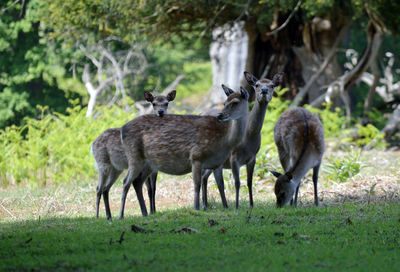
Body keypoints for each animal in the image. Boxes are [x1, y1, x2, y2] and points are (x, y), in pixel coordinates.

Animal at [93, 90, 177, 220]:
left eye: (166, 103)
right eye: (154, 103)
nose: (160, 112)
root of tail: (92, 144)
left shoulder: (154, 169)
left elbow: (153, 189)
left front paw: (153, 211)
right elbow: (147, 188)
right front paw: (150, 211)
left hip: (116, 168)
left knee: (105, 189)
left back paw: (109, 216)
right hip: (103, 164)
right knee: (99, 188)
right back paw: (99, 216)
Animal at [119, 84, 250, 217]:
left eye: (235, 102)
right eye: (225, 102)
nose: (220, 115)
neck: (224, 140)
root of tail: (122, 130)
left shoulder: (217, 163)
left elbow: (221, 184)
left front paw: (226, 206)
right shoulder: (196, 156)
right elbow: (196, 184)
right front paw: (196, 208)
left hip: (148, 164)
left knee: (137, 182)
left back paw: (145, 212)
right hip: (134, 157)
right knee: (126, 182)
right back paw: (121, 215)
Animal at [202, 71, 282, 209]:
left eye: (272, 85)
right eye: (257, 84)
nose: (264, 91)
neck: (249, 137)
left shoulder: (253, 157)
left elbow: (249, 182)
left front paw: (251, 205)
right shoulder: (233, 157)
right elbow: (237, 183)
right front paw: (237, 206)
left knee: (205, 177)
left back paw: (207, 205)